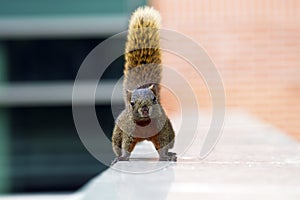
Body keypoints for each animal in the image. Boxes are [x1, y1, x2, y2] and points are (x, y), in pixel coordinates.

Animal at [111, 6, 177, 164]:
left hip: (170, 133)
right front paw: (123, 157)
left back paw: (171, 154)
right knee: (117, 144)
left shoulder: (162, 129)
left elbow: (163, 145)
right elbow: (126, 146)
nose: (146, 109)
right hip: (116, 134)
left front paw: (165, 157)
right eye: (132, 103)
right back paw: (117, 157)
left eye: (154, 99)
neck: (145, 123)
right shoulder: (128, 131)